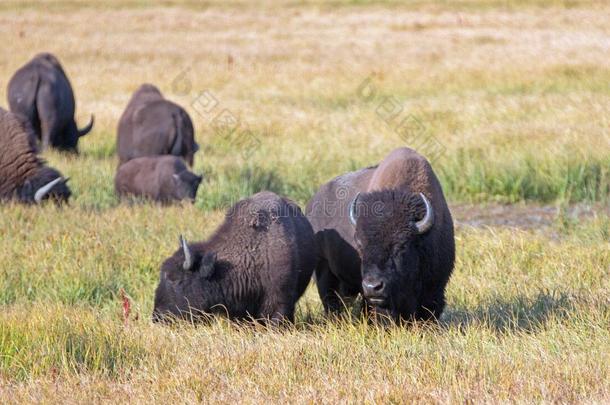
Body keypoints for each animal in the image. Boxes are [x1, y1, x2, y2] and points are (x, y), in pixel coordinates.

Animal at [306, 148, 454, 322]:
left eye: (401, 246)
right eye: (359, 245)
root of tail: (312, 203)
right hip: (324, 272)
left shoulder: (435, 288)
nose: (372, 287)